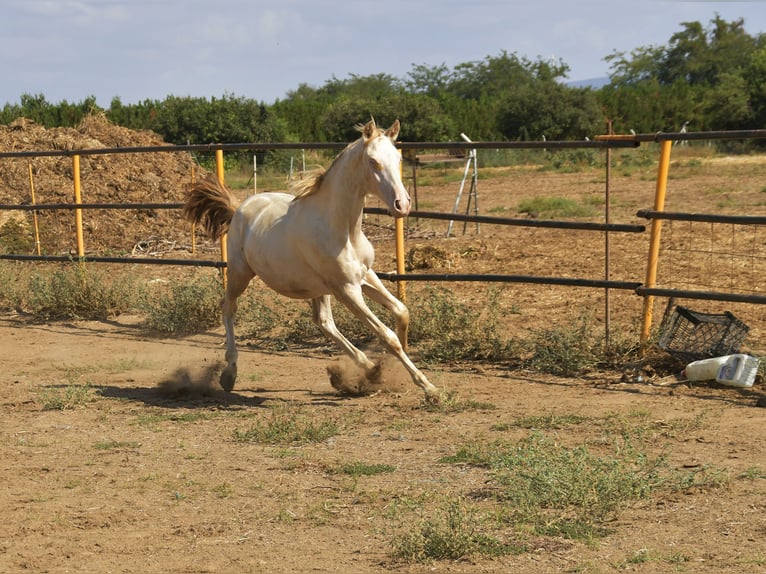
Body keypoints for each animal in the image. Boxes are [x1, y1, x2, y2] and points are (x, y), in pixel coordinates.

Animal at [182, 120, 440, 402]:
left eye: (399, 158)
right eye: (373, 162)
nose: (402, 205)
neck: (342, 229)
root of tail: (240, 207)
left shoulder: (366, 276)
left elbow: (401, 311)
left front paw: (389, 364)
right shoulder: (347, 290)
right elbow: (387, 335)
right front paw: (428, 386)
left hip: (318, 288)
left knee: (324, 322)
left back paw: (368, 369)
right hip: (241, 273)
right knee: (228, 307)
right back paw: (229, 373)